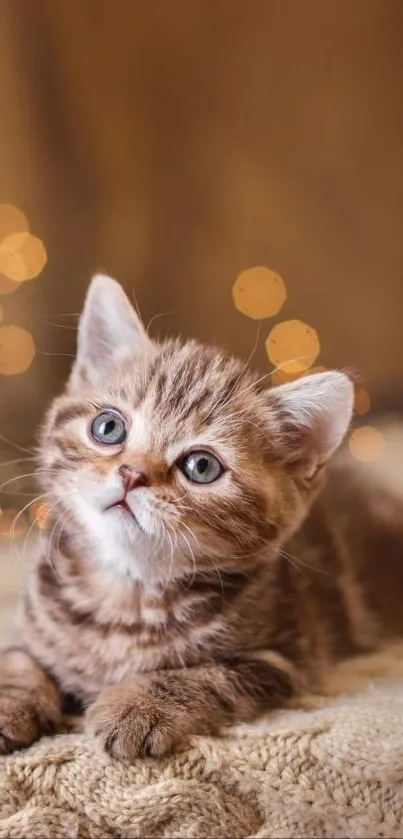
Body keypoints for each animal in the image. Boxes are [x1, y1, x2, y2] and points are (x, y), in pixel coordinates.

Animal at [1, 276, 402, 760]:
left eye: (201, 466)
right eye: (108, 427)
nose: (132, 474)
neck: (125, 594)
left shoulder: (283, 658)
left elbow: (202, 675)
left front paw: (137, 705)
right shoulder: (29, 626)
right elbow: (18, 660)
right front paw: (12, 701)